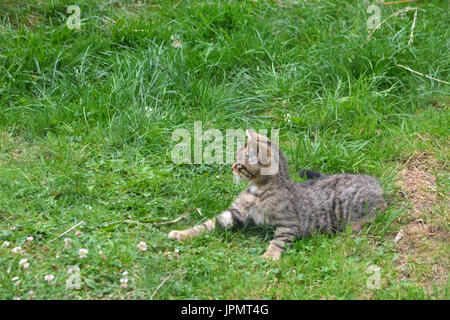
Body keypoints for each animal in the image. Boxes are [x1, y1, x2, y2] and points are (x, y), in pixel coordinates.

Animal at [167, 130, 384, 260]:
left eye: (240, 164)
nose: (231, 168)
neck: (257, 190)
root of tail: (374, 182)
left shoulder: (290, 224)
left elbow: (278, 241)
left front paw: (269, 256)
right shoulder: (235, 214)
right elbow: (208, 224)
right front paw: (183, 233)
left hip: (349, 203)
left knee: (376, 213)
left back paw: (349, 230)